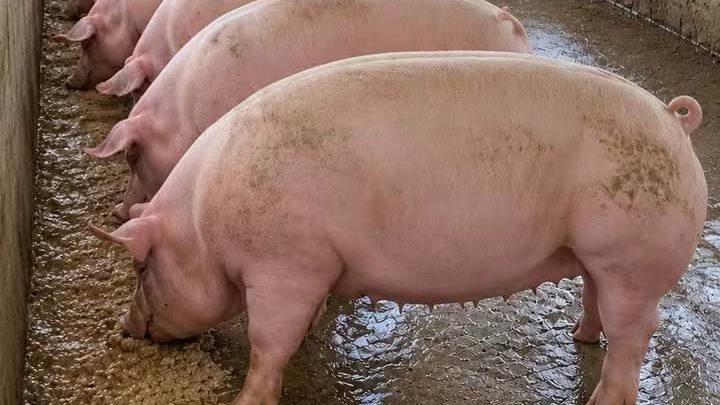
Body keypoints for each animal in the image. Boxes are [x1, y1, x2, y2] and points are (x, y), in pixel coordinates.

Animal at [91, 51, 707, 405]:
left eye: (142, 264)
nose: (124, 327)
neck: (203, 222)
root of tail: (673, 120)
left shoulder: (286, 262)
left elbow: (269, 343)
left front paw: (246, 400)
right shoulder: (315, 267)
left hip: (634, 257)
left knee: (633, 340)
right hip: (601, 258)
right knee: (596, 301)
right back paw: (580, 337)